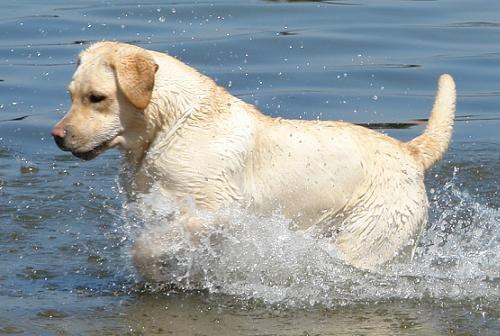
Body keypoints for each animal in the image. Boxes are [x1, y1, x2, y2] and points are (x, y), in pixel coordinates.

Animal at [52, 41, 456, 272]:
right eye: (70, 95)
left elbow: (145, 247)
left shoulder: (219, 210)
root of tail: (409, 151)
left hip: (367, 239)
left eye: (97, 98)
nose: (56, 136)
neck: (171, 126)